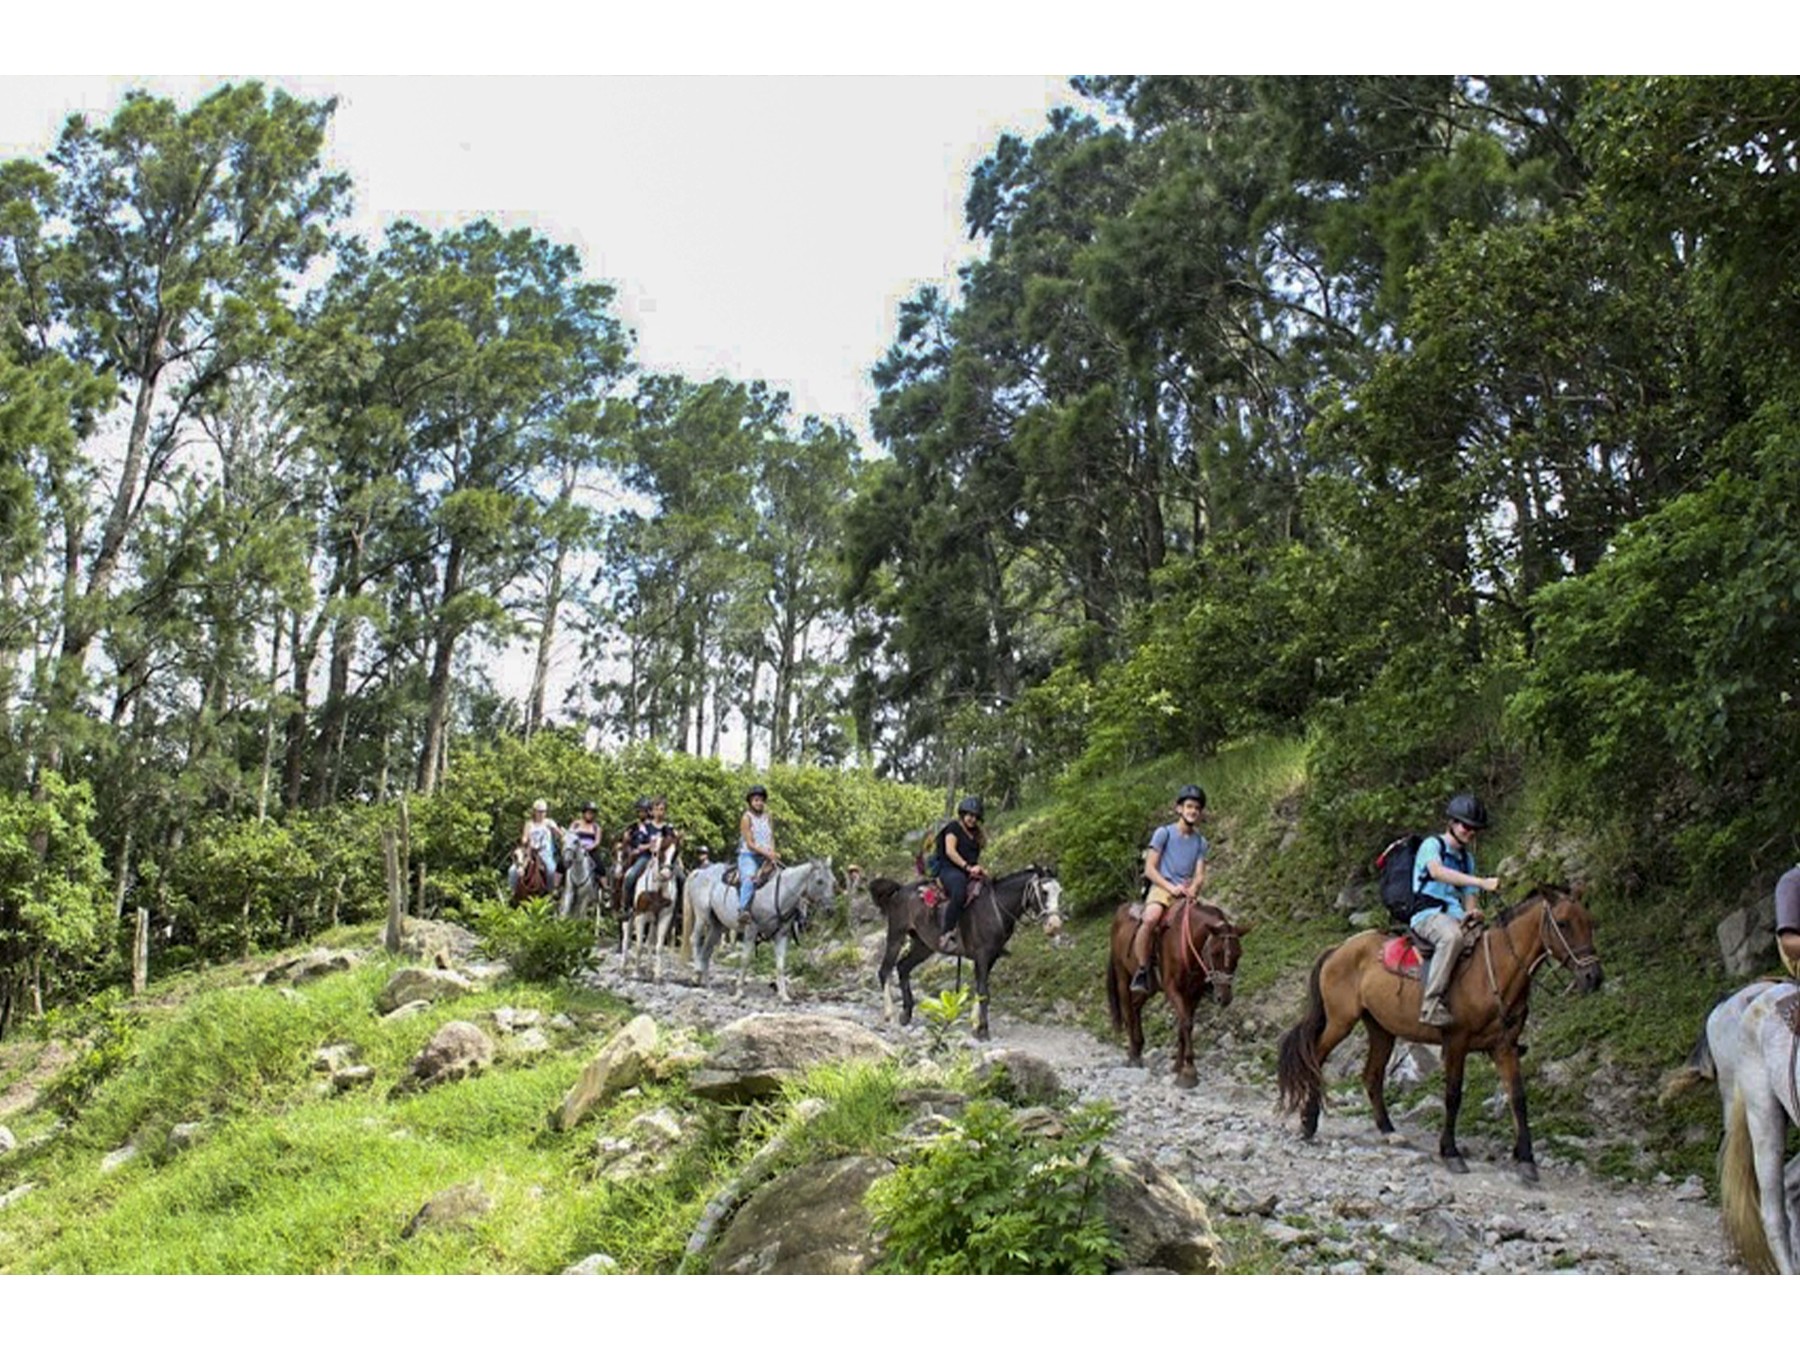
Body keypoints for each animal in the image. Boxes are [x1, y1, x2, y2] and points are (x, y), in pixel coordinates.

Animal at [687, 856, 835, 1008]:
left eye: (833, 882)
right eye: (819, 881)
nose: (830, 910)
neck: (778, 894)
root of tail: (699, 872)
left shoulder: (781, 935)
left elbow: (780, 965)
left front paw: (784, 996)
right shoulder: (751, 930)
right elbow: (745, 960)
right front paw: (738, 993)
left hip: (717, 926)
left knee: (706, 952)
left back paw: (708, 987)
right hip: (702, 917)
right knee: (695, 939)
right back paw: (696, 974)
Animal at [867, 867, 1058, 1044]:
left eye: (1060, 892)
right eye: (1044, 892)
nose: (1054, 925)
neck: (996, 907)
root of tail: (900, 889)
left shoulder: (990, 958)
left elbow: (979, 988)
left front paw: (975, 1025)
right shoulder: (982, 956)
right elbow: (984, 992)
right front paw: (983, 1030)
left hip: (924, 945)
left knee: (903, 967)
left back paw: (906, 1013)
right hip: (896, 935)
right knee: (885, 970)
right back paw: (889, 1014)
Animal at [1094, 903, 1252, 1094]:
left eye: (1238, 955)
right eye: (1215, 953)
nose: (1224, 997)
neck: (1187, 943)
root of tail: (1120, 912)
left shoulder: (1193, 994)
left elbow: (1184, 1026)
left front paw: (1178, 1066)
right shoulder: (1172, 989)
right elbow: (1186, 1024)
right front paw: (1189, 1072)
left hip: (1149, 988)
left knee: (1135, 1006)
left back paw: (1138, 1048)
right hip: (1122, 975)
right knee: (1127, 1011)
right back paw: (1133, 1056)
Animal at [1274, 882, 1598, 1180]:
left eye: (1589, 922)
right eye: (1564, 923)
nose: (1593, 977)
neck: (1493, 972)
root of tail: (1338, 950)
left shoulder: (1504, 1046)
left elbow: (1517, 1097)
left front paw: (1526, 1159)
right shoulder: (1456, 1042)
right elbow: (1453, 1095)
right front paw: (1451, 1152)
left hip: (1381, 1028)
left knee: (1372, 1075)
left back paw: (1389, 1131)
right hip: (1341, 1021)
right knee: (1315, 1058)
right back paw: (1308, 1123)